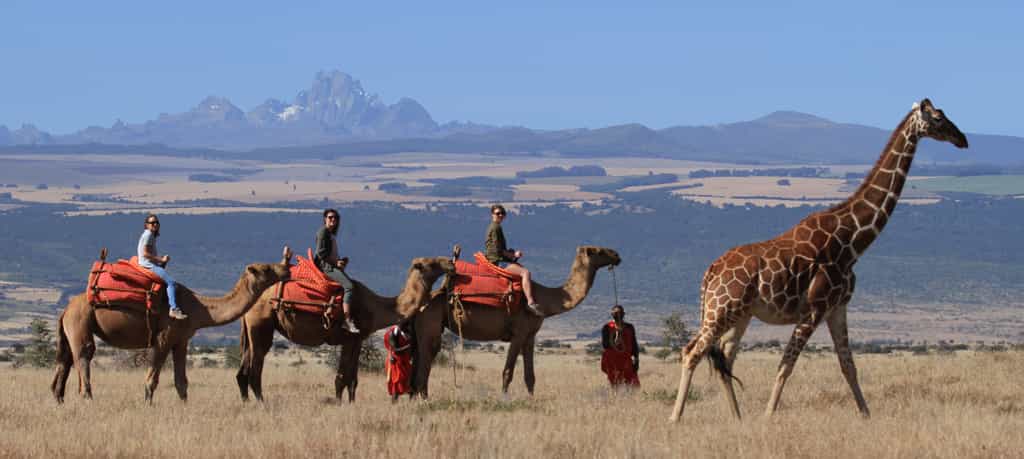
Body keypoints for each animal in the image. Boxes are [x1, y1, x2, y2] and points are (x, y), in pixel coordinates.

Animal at [51, 246, 293, 403]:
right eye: (266, 269)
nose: (287, 269)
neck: (198, 307)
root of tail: (66, 309)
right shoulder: (164, 337)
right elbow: (151, 379)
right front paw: (148, 406)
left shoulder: (181, 340)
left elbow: (181, 382)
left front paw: (184, 407)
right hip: (81, 320)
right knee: (84, 355)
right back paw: (87, 399)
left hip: (72, 327)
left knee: (65, 360)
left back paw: (59, 399)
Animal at [235, 256, 454, 402]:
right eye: (432, 263)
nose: (451, 263)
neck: (375, 307)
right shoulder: (350, 337)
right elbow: (342, 377)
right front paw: (340, 405)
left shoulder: (358, 339)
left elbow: (352, 379)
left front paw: (350, 403)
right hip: (261, 325)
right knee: (255, 368)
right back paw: (261, 402)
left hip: (251, 329)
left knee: (242, 370)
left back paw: (246, 403)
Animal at [411, 246, 621, 398]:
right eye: (599, 251)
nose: (617, 255)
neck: (544, 299)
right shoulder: (518, 333)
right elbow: (508, 371)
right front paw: (504, 399)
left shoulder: (530, 336)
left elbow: (530, 375)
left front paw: (531, 399)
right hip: (430, 324)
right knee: (425, 362)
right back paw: (424, 399)